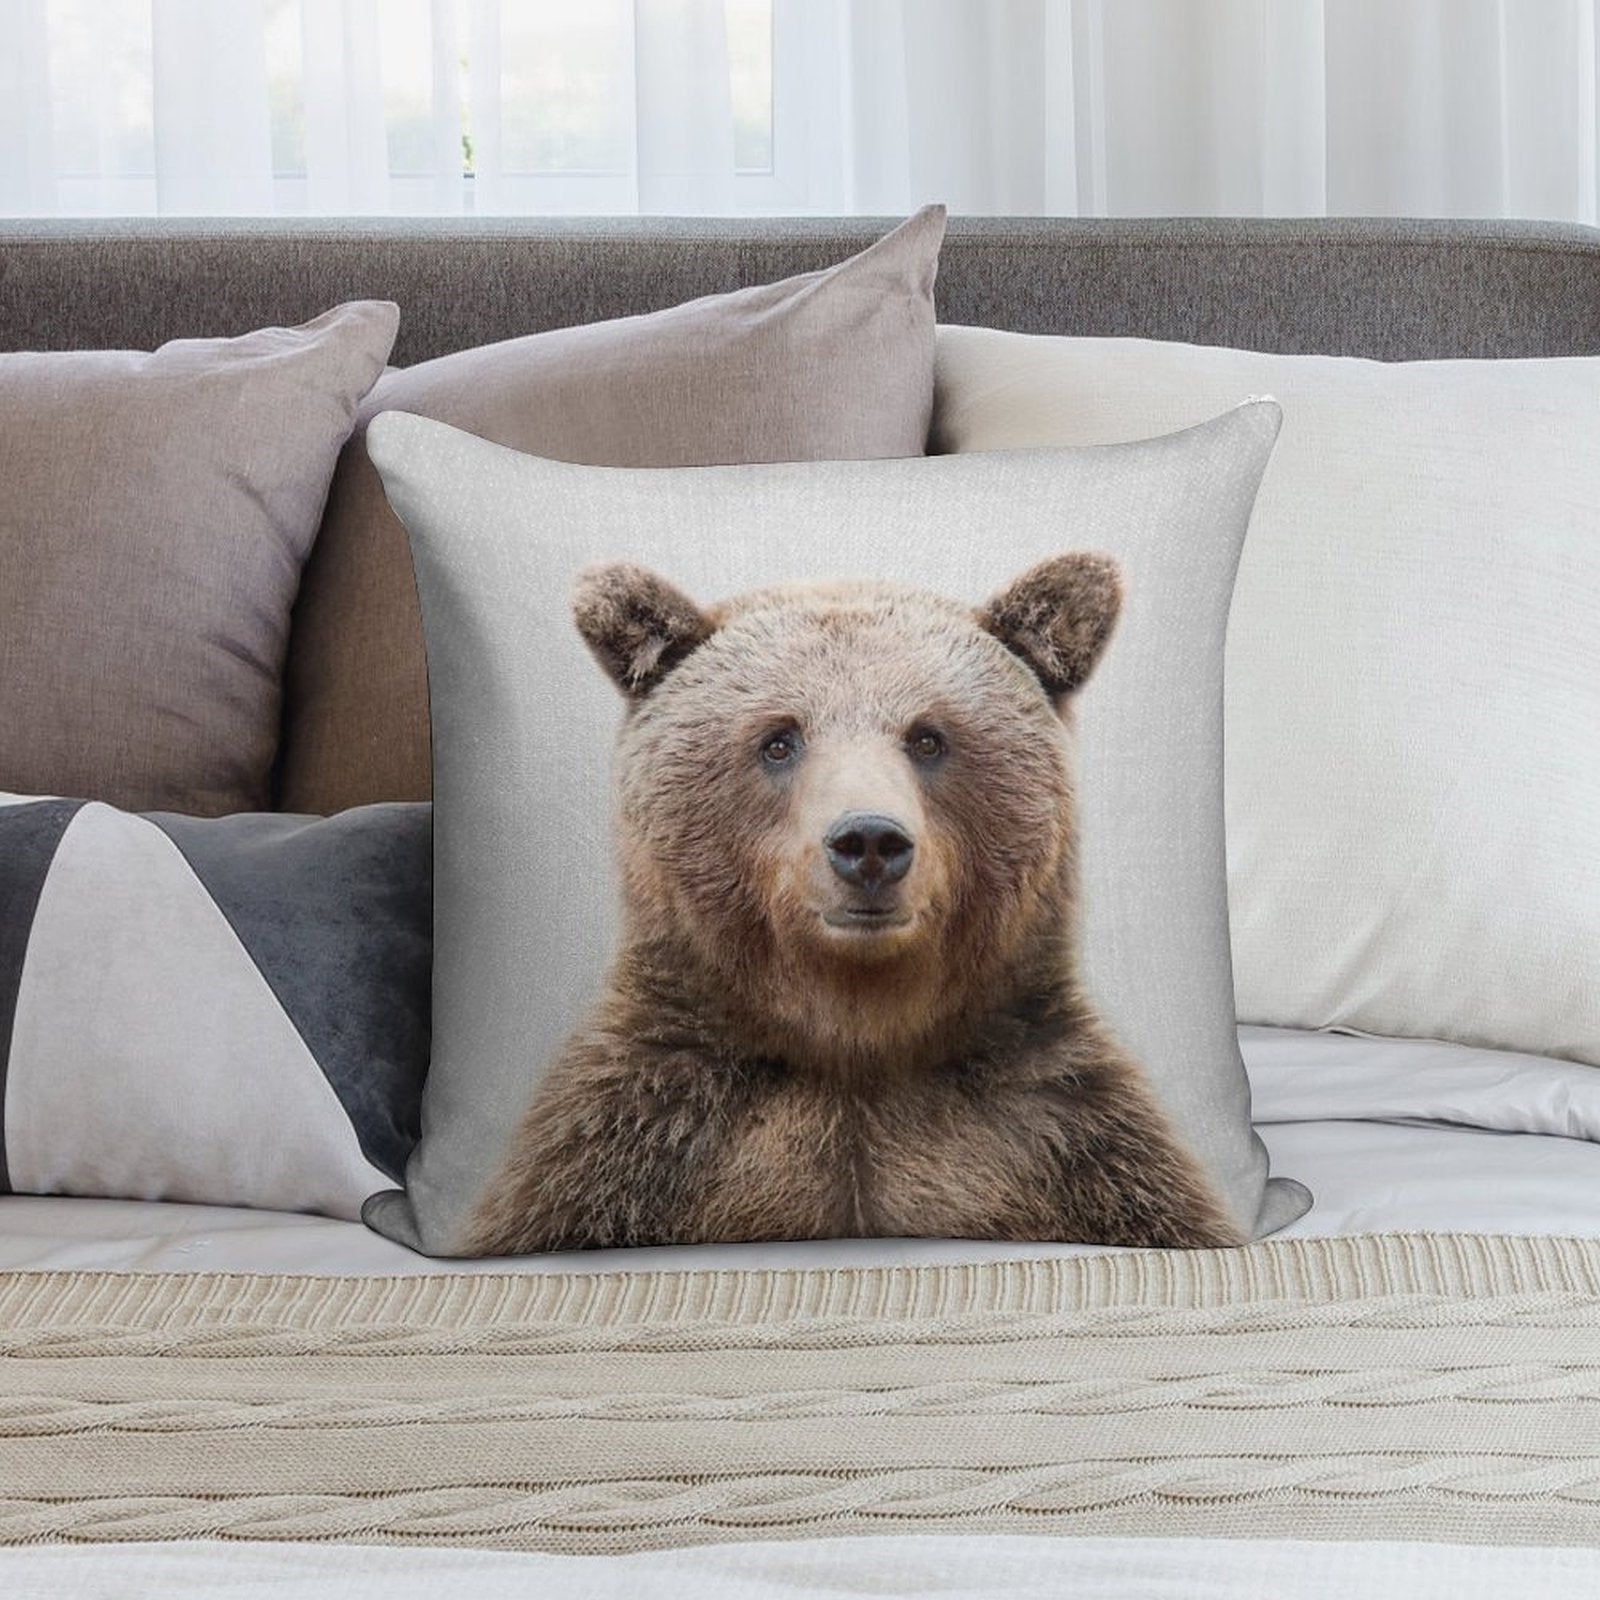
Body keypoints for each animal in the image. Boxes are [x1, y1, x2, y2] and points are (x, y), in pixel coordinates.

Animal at [462, 556, 1245, 1255]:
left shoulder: (1073, 1143)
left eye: (928, 737)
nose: (869, 841)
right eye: (779, 740)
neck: (854, 1040)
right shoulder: (633, 1143)